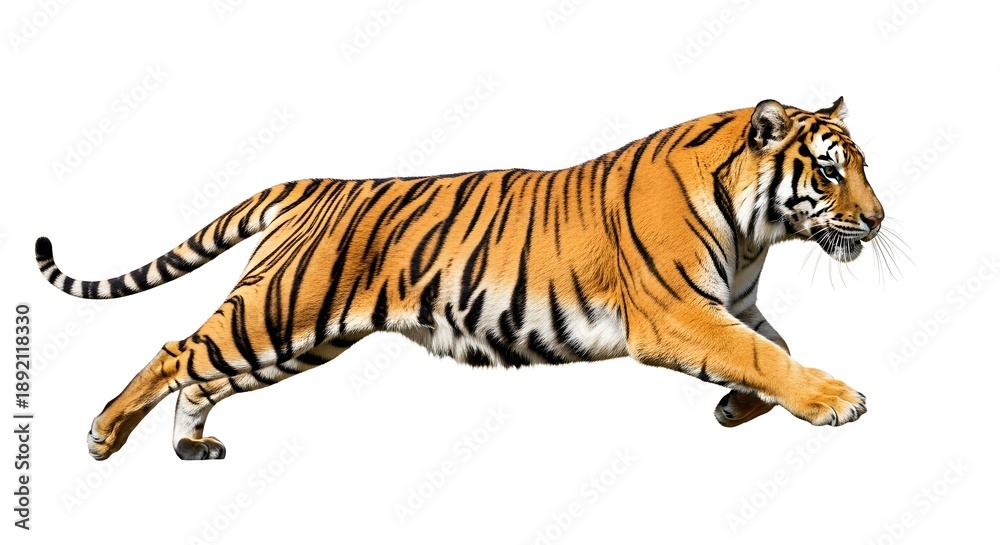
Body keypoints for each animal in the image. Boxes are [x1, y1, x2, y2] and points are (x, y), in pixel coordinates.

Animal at [36, 97, 883, 461]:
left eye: (863, 166)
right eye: (831, 172)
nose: (876, 220)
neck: (754, 234)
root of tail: (316, 184)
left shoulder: (730, 304)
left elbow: (773, 348)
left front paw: (738, 408)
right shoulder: (678, 314)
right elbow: (765, 354)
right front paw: (835, 400)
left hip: (295, 340)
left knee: (201, 373)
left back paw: (190, 446)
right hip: (276, 314)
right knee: (176, 350)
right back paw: (103, 435)